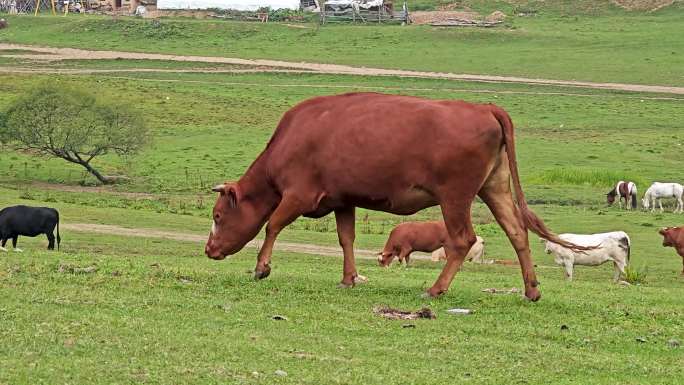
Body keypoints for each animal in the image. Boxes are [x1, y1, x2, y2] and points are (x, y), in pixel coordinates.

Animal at [206, 91, 580, 298]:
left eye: (218, 216)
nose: (209, 250)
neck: (292, 139)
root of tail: (483, 108)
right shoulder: (343, 200)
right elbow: (346, 239)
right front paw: (349, 278)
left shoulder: (297, 196)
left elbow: (272, 226)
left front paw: (261, 267)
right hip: (495, 188)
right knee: (517, 232)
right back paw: (531, 289)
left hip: (455, 197)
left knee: (462, 241)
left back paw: (436, 289)